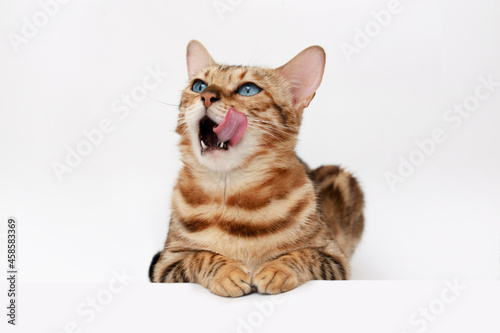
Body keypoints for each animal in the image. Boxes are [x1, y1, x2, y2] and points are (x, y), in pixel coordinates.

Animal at [148, 39, 364, 296]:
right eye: (199, 85)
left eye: (248, 89)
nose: (208, 95)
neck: (232, 201)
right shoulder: (166, 265)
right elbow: (201, 257)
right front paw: (227, 272)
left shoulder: (335, 259)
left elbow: (302, 255)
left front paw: (276, 269)